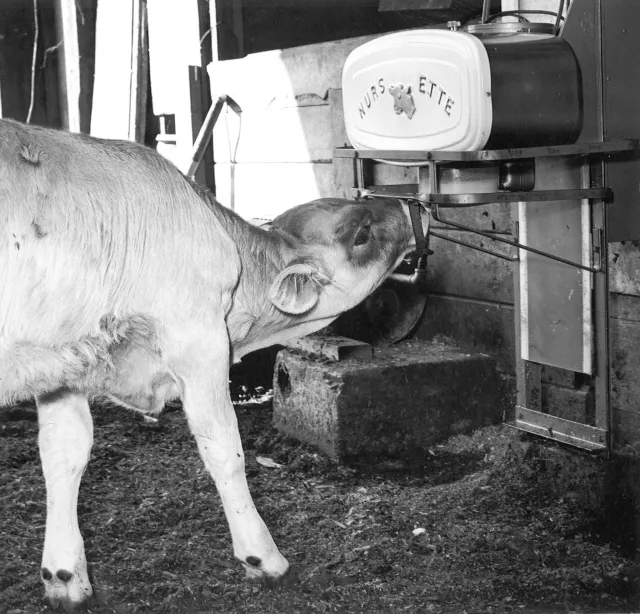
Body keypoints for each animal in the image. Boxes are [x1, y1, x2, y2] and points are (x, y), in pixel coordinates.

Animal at [0, 118, 429, 610]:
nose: (410, 203)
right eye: (360, 234)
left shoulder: (62, 358)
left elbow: (63, 453)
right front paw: (263, 558)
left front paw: (65, 576)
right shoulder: (198, 338)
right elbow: (224, 449)